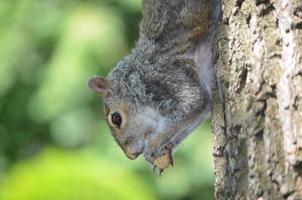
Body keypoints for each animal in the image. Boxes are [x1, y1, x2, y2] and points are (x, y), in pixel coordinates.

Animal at [87, 0, 217, 173]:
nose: (131, 155)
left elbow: (193, 102)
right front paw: (166, 148)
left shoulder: (161, 80)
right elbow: (193, 120)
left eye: (116, 119)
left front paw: (153, 145)